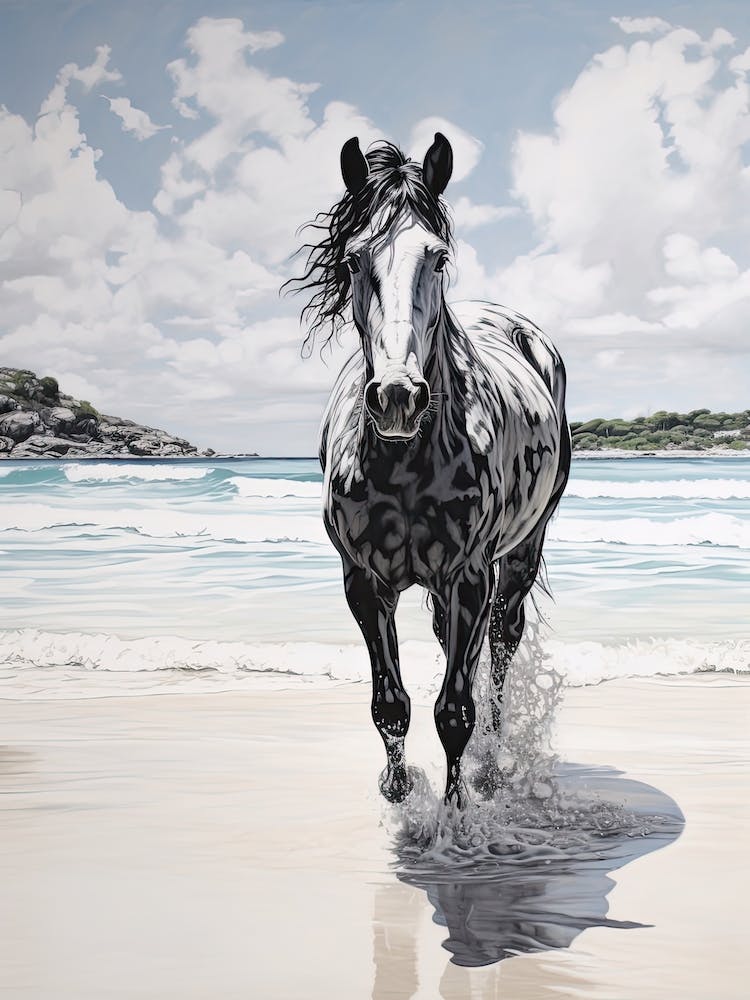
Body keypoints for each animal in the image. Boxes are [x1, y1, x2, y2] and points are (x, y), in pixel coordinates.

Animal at [290, 133, 571, 806]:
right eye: (354, 259)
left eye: (437, 258)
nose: (398, 396)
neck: (405, 466)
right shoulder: (364, 583)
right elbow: (390, 705)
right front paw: (398, 787)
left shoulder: (469, 578)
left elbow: (454, 712)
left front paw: (456, 813)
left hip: (520, 555)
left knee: (500, 645)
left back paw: (493, 763)